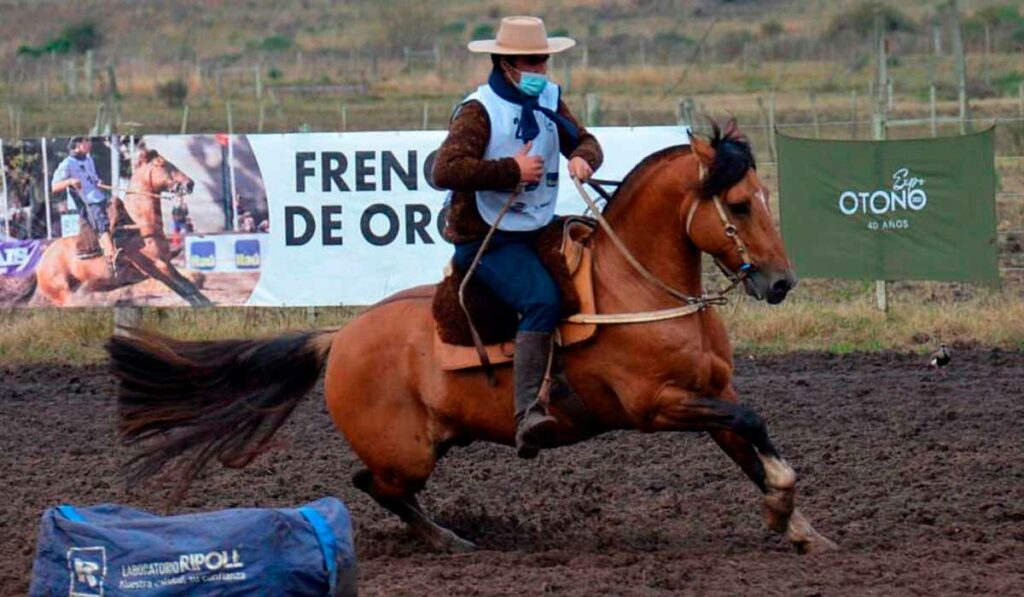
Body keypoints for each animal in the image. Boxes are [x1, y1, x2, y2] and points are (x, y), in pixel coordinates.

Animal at [27, 149, 209, 309]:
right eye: (162, 164)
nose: (189, 183)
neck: (139, 226)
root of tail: (40, 263)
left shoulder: (164, 265)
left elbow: (188, 289)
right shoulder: (157, 266)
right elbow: (187, 288)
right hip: (65, 295)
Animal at [108, 124, 835, 557]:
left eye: (762, 195)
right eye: (737, 204)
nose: (780, 282)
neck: (636, 286)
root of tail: (339, 337)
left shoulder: (711, 392)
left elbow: (748, 440)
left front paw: (796, 524)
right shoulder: (657, 406)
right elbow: (754, 424)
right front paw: (784, 504)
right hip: (407, 451)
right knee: (373, 482)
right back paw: (448, 539)